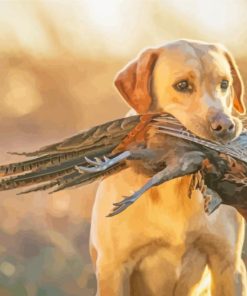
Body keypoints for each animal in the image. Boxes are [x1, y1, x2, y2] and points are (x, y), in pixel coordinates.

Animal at [89, 40, 246, 296]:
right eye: (182, 85)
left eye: (225, 83)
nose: (226, 127)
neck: (176, 191)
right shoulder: (114, 268)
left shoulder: (229, 265)